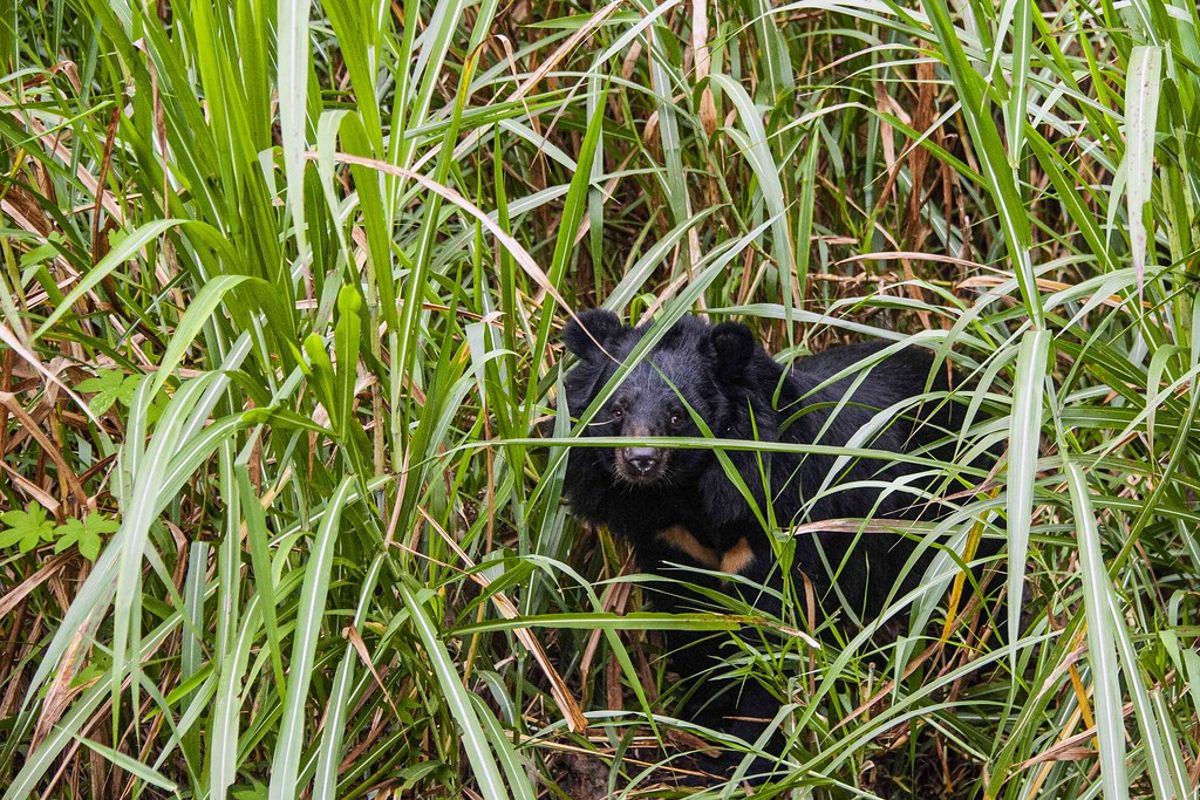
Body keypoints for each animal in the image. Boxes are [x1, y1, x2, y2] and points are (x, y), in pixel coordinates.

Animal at [559, 309, 998, 783]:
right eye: (616, 409)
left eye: (678, 416)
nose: (640, 460)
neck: (689, 496)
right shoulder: (673, 543)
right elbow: (692, 632)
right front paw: (702, 735)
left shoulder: (782, 527)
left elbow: (772, 639)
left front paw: (743, 762)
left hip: (958, 511)